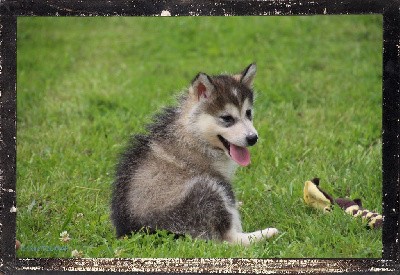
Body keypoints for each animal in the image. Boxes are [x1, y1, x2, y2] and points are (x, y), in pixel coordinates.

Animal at [110, 64, 278, 246]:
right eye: (227, 118)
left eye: (248, 113)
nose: (253, 138)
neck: (195, 133)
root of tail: (135, 231)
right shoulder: (218, 179)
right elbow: (231, 211)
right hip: (207, 189)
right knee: (228, 239)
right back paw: (266, 233)